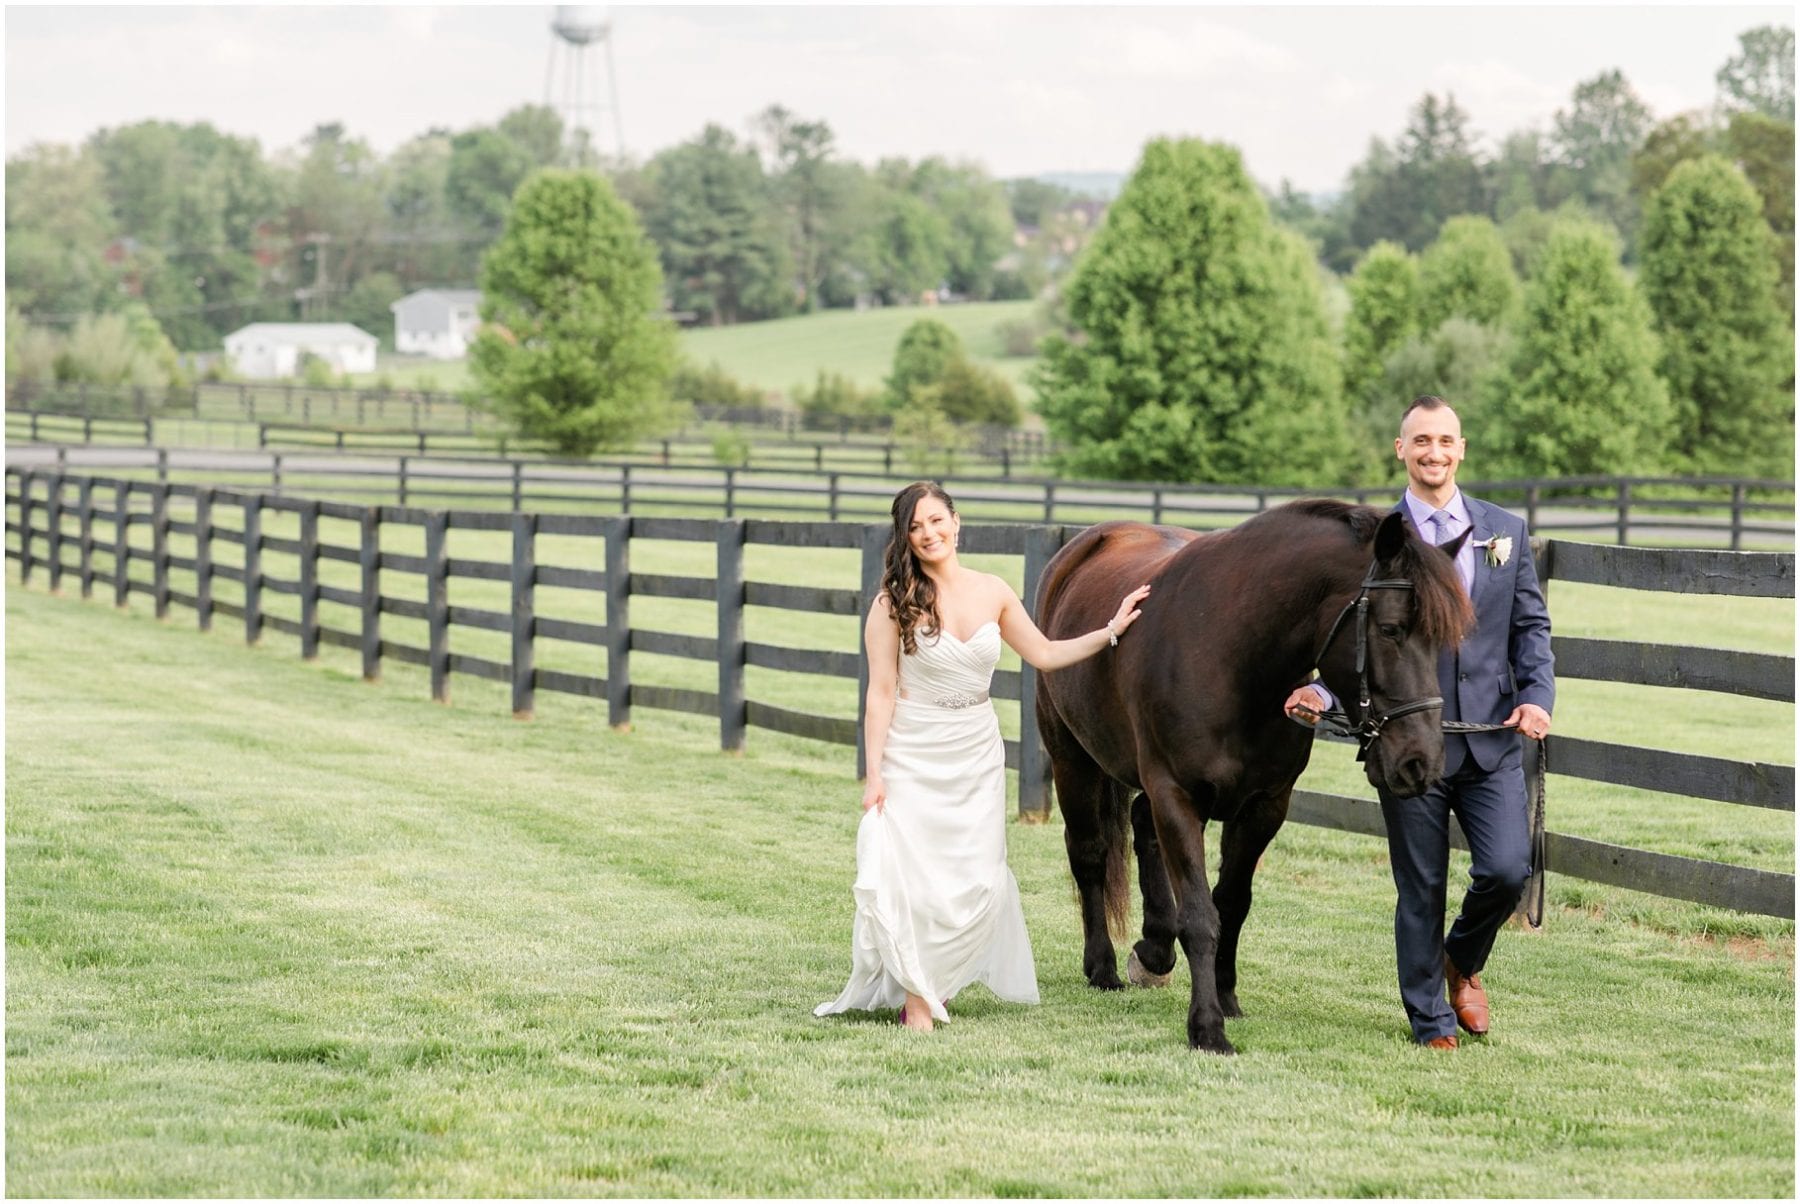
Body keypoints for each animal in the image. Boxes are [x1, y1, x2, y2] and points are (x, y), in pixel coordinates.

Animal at [1036, 503, 1468, 1043]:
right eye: (1391, 630)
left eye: (1445, 640)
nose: (1421, 761)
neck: (1232, 657)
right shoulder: (1177, 795)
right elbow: (1201, 915)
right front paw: (1207, 1028)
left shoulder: (1264, 806)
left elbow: (1232, 904)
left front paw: (1225, 998)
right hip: (1071, 756)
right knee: (1090, 854)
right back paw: (1103, 967)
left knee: (1140, 826)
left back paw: (1154, 950)